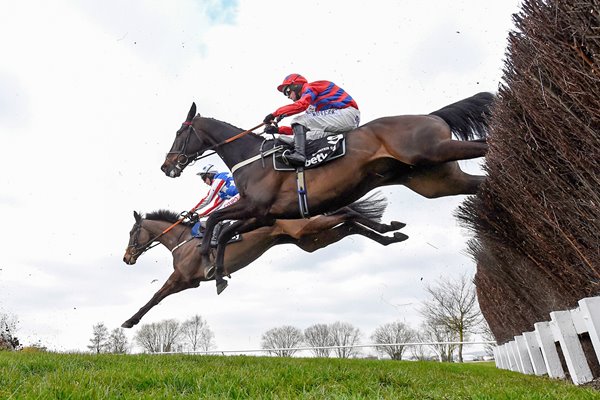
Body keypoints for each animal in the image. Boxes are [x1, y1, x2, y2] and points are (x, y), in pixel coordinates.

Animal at [120, 195, 408, 328]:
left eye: (132, 232)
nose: (126, 258)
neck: (183, 240)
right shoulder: (189, 282)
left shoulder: (181, 278)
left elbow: (155, 297)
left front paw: (130, 320)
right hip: (311, 239)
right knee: (350, 225)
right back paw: (391, 234)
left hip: (310, 228)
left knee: (347, 213)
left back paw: (389, 228)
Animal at [161, 93, 492, 290]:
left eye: (179, 133)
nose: (166, 166)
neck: (250, 156)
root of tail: (431, 115)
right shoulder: (263, 215)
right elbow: (225, 230)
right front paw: (217, 273)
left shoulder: (255, 208)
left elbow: (216, 222)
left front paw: (206, 260)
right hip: (437, 181)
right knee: (478, 182)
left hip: (434, 151)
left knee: (486, 145)